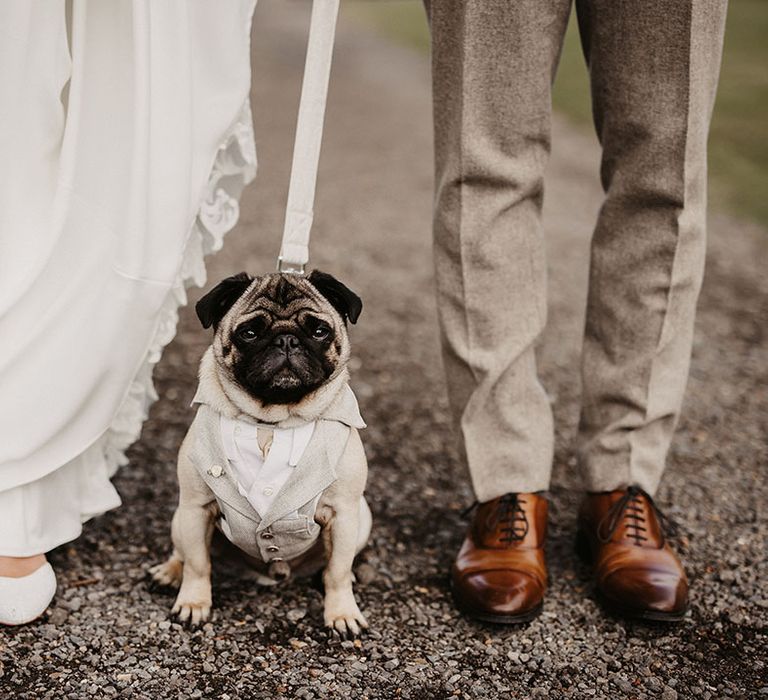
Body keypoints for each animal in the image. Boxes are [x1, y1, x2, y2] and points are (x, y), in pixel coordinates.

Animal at [151, 270, 372, 636]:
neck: (274, 422)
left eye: (319, 331)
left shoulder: (343, 513)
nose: (286, 340)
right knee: (182, 553)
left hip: (362, 518)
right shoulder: (195, 507)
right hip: (179, 517)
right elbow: (198, 564)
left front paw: (342, 612)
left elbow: (338, 571)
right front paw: (194, 603)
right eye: (250, 333)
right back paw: (169, 572)